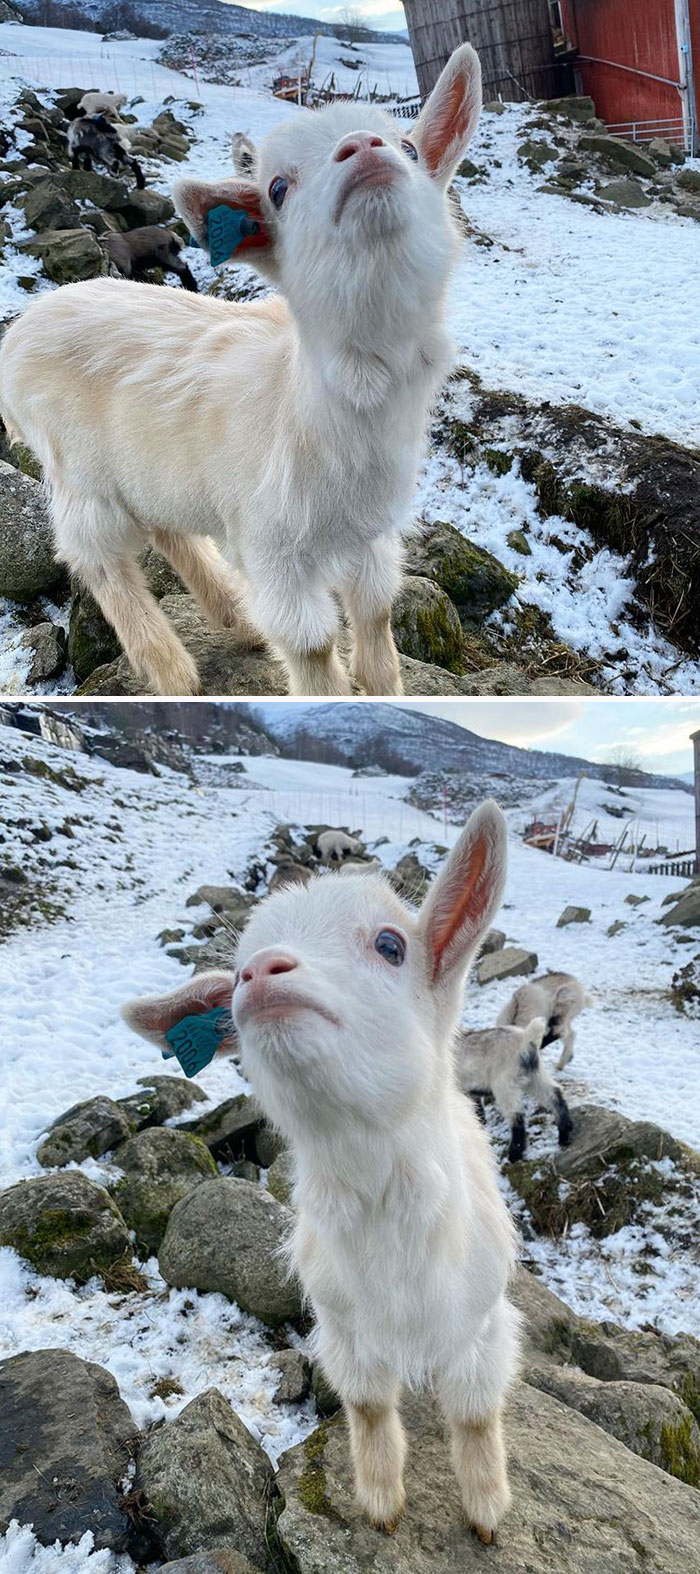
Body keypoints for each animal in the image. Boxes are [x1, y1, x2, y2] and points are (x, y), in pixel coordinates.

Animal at [0, 45, 482, 697]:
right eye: (277, 188)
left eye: (408, 146)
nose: (364, 147)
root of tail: (21, 329)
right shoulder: (272, 544)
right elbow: (310, 645)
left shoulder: (370, 533)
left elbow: (377, 607)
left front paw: (385, 690)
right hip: (77, 472)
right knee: (94, 558)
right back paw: (172, 670)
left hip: (150, 466)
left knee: (167, 527)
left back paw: (234, 617)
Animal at [124, 802, 519, 1542]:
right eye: (236, 970)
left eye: (391, 945)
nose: (261, 975)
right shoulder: (343, 1330)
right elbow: (367, 1409)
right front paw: (381, 1503)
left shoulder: (482, 1327)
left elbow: (477, 1416)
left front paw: (486, 1511)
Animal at [456, 1018, 573, 1163]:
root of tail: (525, 1038)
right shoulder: (470, 1093)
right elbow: (477, 1111)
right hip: (535, 1075)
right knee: (555, 1094)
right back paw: (564, 1134)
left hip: (505, 1084)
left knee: (516, 1115)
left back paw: (514, 1154)